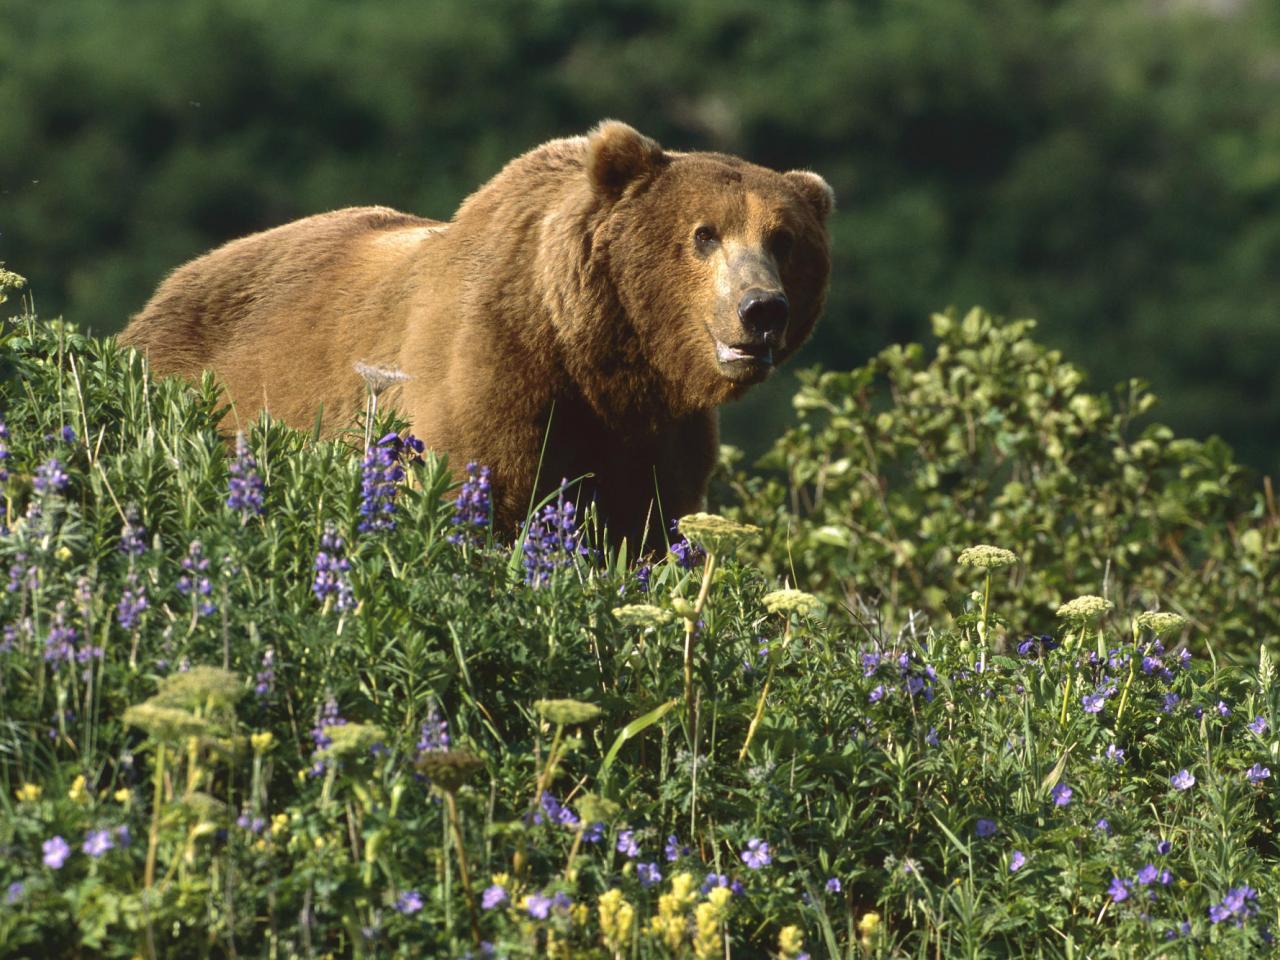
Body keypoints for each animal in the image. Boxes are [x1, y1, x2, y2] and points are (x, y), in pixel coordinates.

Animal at [122, 122, 829, 547]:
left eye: (783, 239)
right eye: (704, 234)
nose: (762, 308)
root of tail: (163, 291)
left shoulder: (654, 431)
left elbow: (650, 528)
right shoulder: (492, 365)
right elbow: (474, 490)